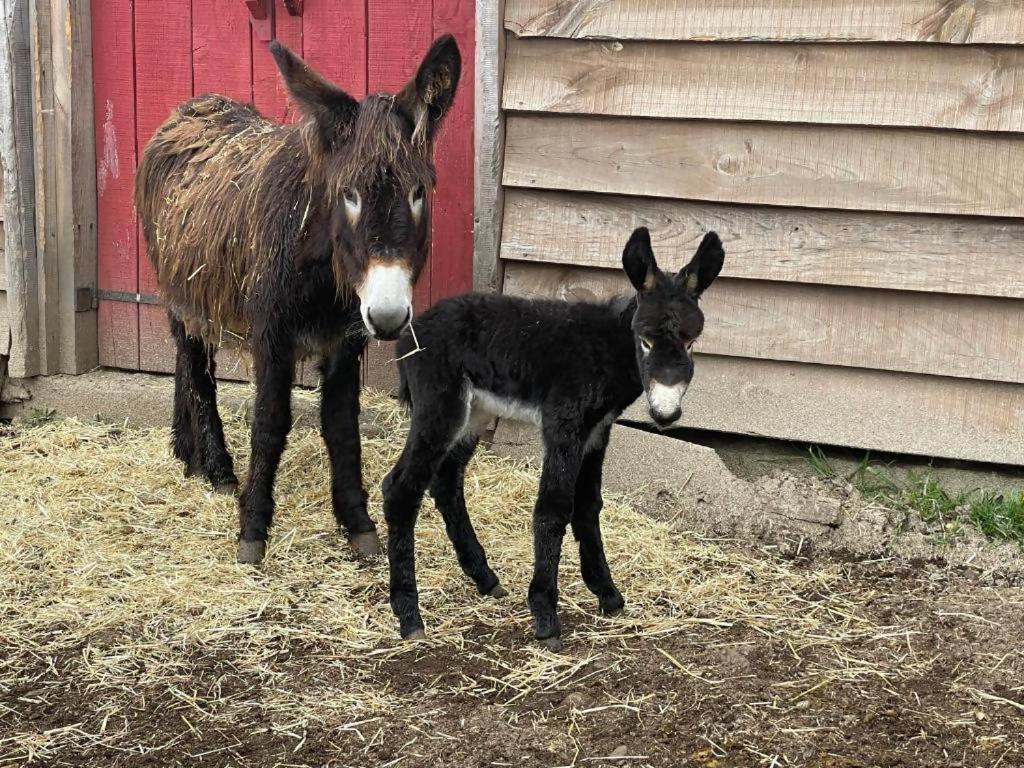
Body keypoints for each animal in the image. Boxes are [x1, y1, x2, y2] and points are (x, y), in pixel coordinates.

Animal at [380, 228, 724, 651]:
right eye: (645, 340)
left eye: (692, 342)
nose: (665, 414)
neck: (607, 349)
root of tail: (410, 333)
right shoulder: (564, 423)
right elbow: (554, 508)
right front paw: (545, 614)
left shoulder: (597, 431)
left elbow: (589, 506)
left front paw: (608, 594)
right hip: (440, 408)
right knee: (401, 488)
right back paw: (409, 615)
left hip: (474, 413)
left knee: (446, 481)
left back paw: (484, 577)